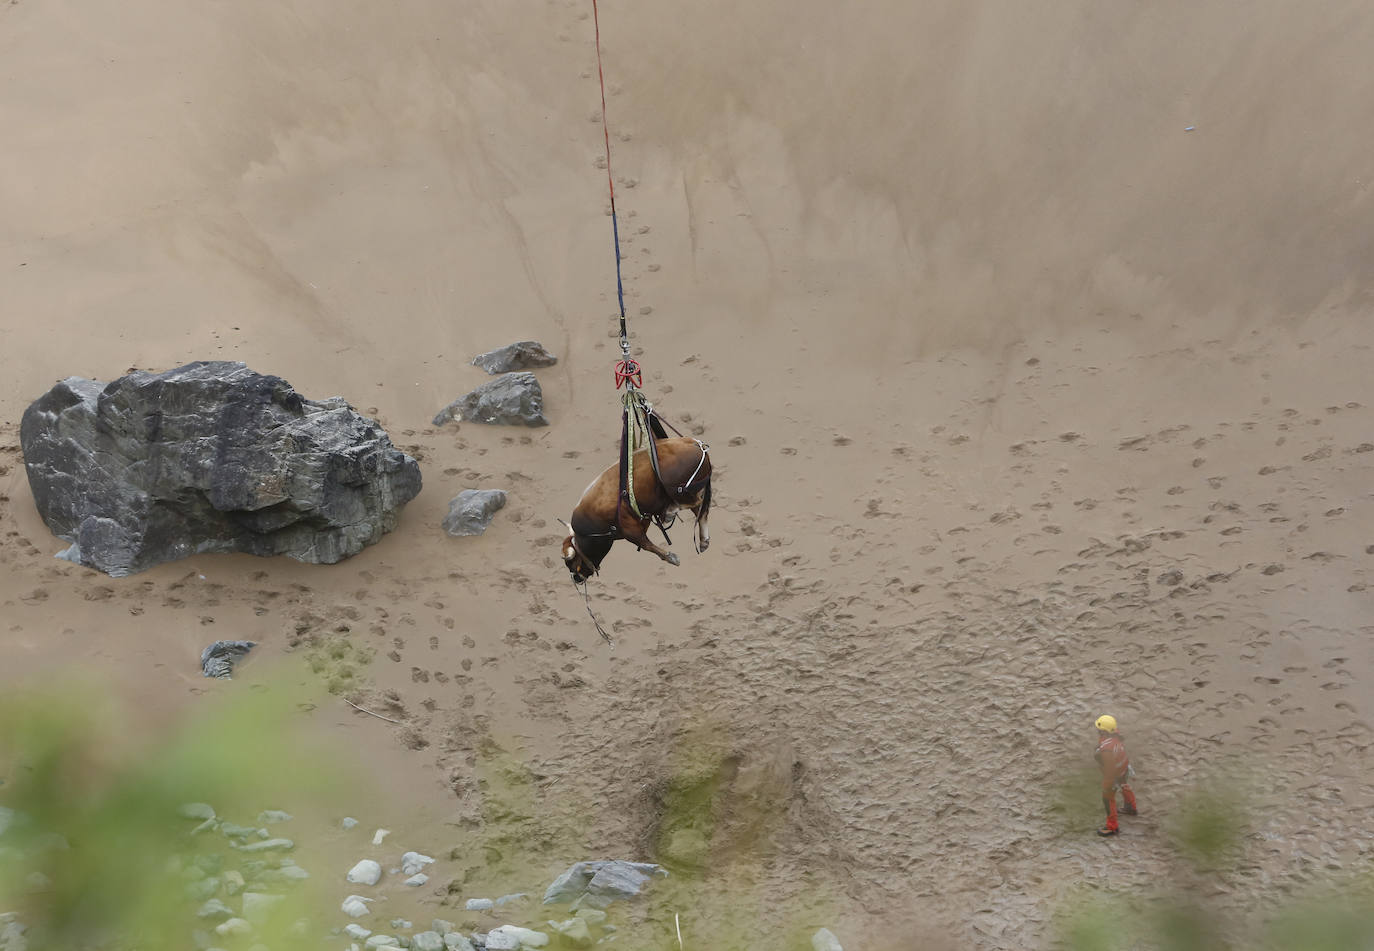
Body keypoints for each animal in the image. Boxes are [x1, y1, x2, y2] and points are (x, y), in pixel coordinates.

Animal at [560, 437, 714, 582]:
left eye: (571, 562)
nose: (576, 578)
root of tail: (696, 444)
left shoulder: (630, 530)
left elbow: (645, 544)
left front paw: (670, 557)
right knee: (701, 510)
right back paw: (703, 540)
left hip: (680, 492)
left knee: (697, 504)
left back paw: (671, 512)